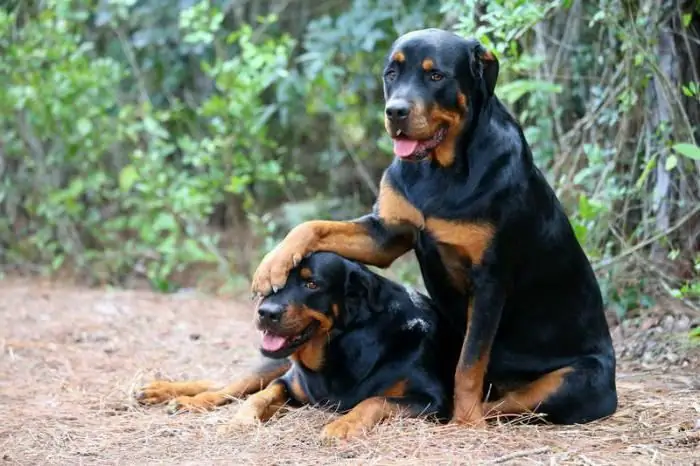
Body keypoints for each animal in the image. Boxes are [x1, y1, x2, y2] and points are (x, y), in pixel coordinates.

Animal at [139, 251, 462, 436]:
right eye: (274, 284)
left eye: (312, 284)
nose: (266, 313)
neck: (341, 347)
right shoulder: (289, 382)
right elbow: (260, 396)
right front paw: (241, 420)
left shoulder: (433, 400)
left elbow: (374, 400)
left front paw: (343, 425)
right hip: (273, 363)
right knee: (228, 386)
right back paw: (170, 395)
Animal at [252, 28, 616, 426]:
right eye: (391, 73)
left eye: (436, 76)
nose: (395, 111)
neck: (439, 173)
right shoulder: (385, 234)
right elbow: (312, 225)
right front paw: (273, 264)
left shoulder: (489, 280)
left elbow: (469, 362)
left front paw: (466, 421)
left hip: (571, 381)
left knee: (512, 400)